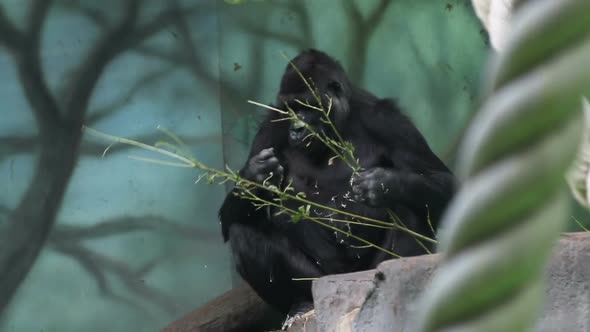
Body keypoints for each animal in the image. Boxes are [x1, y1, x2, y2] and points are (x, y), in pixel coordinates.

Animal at [220, 48, 456, 320]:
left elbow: (445, 184)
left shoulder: (389, 120)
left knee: (410, 207)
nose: (296, 129)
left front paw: (386, 183)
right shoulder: (271, 126)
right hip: (322, 278)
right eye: (290, 108)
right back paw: (301, 303)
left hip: (365, 273)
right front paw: (256, 176)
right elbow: (228, 219)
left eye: (308, 105)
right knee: (242, 233)